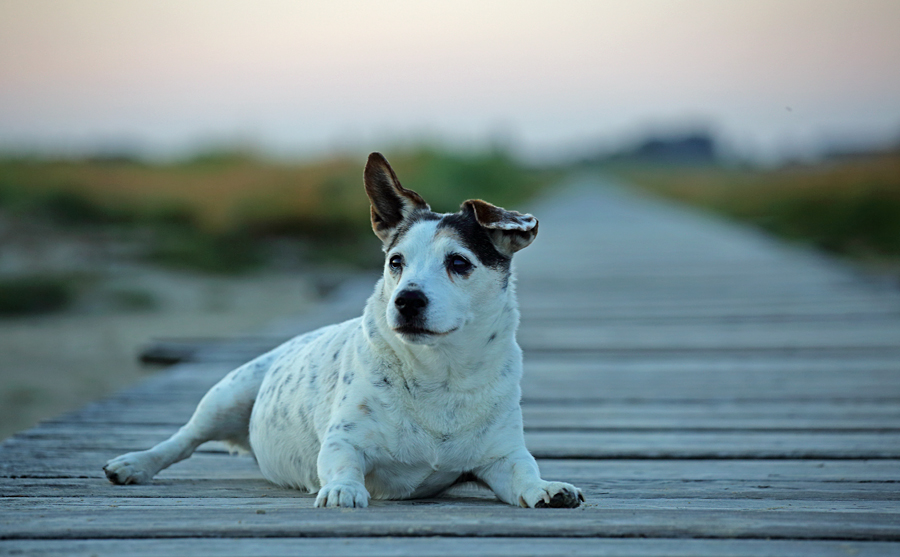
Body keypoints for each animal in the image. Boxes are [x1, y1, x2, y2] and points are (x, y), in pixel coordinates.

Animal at [103, 152, 584, 508]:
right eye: (396, 262)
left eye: (459, 263)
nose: (406, 300)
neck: (440, 376)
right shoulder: (343, 442)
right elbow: (342, 464)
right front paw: (342, 491)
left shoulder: (501, 457)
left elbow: (524, 473)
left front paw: (546, 488)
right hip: (226, 396)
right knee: (183, 440)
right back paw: (134, 464)